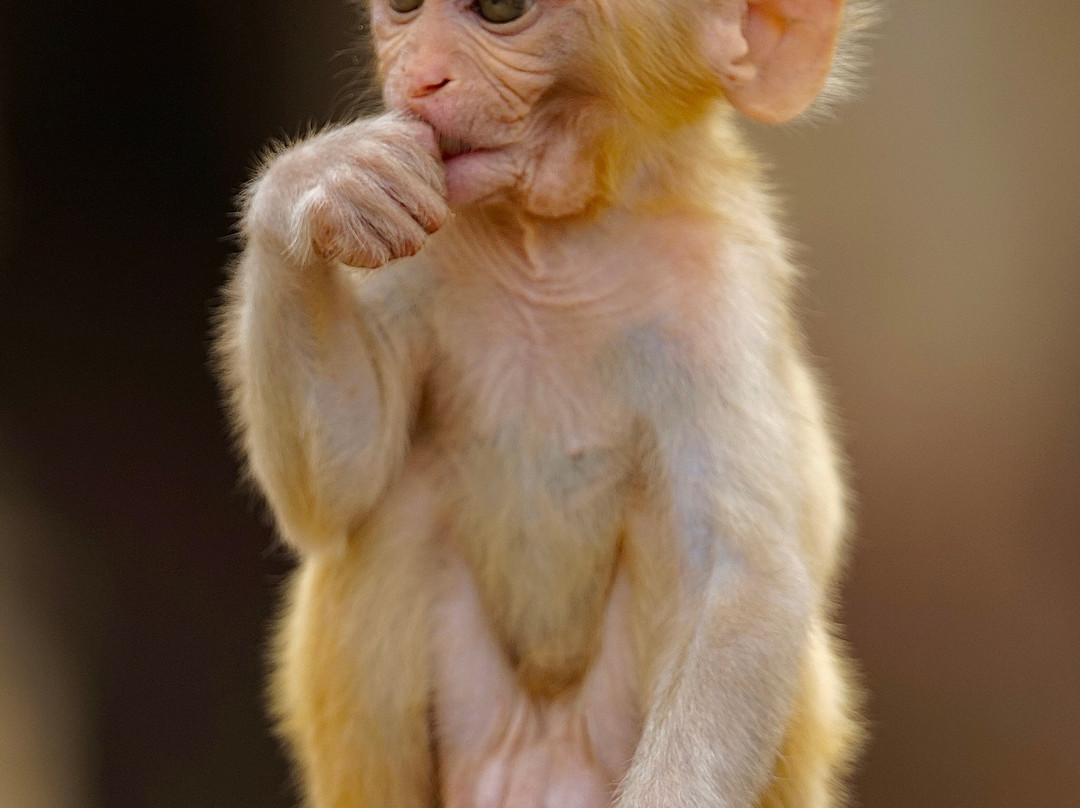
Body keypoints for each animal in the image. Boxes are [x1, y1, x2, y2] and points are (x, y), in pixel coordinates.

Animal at [215, 1, 870, 806]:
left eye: (501, 11)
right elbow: (341, 485)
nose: (420, 78)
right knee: (396, 510)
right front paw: (320, 179)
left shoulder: (715, 292)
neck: (551, 252)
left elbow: (741, 578)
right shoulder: (429, 243)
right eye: (404, 9)